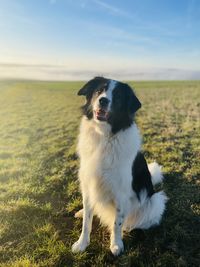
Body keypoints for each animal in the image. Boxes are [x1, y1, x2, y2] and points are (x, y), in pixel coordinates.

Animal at [72, 76, 167, 256]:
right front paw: (82, 243)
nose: (103, 100)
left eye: (118, 96)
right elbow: (87, 221)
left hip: (154, 202)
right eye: (98, 91)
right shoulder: (88, 184)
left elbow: (117, 222)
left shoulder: (122, 192)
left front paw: (116, 244)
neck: (105, 136)